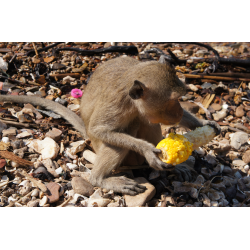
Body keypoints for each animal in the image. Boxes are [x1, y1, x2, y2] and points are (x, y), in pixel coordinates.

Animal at [0, 54, 221, 195]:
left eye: (180, 99)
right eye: (172, 101)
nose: (179, 111)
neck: (133, 100)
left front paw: (205, 123)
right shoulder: (118, 104)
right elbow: (100, 129)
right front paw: (149, 151)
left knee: (146, 122)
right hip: (105, 148)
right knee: (120, 138)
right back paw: (100, 179)